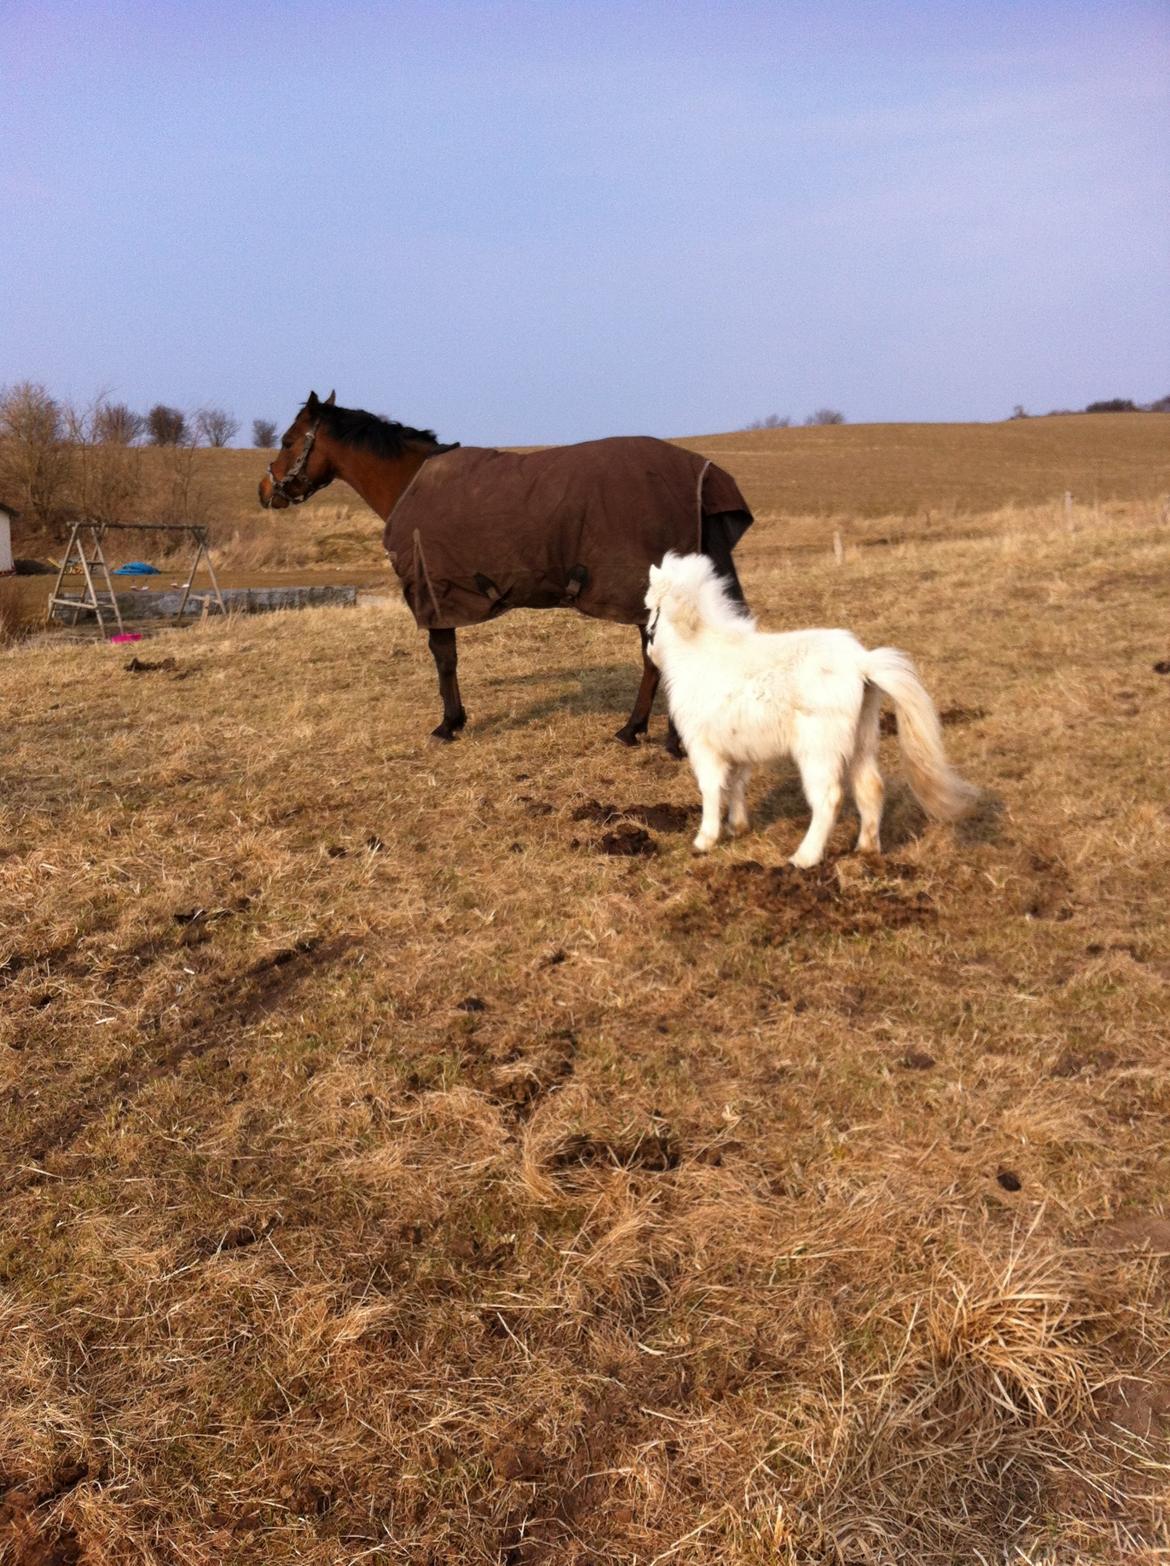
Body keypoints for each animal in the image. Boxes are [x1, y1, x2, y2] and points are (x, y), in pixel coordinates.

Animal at [256, 389, 754, 745]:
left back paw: (641, 732)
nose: (265, 491)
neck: (409, 482)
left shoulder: (435, 592)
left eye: (287, 440)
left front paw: (449, 725)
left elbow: (444, 659)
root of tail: (704, 475)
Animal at [645, 554, 977, 870]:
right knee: (871, 787)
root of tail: (862, 663)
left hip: (819, 750)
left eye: (652, 611)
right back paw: (866, 849)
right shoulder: (740, 745)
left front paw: (704, 840)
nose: (649, 649)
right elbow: (737, 783)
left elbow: (712, 789)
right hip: (863, 740)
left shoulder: (704, 746)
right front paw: (738, 827)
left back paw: (805, 857)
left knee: (829, 798)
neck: (699, 651)